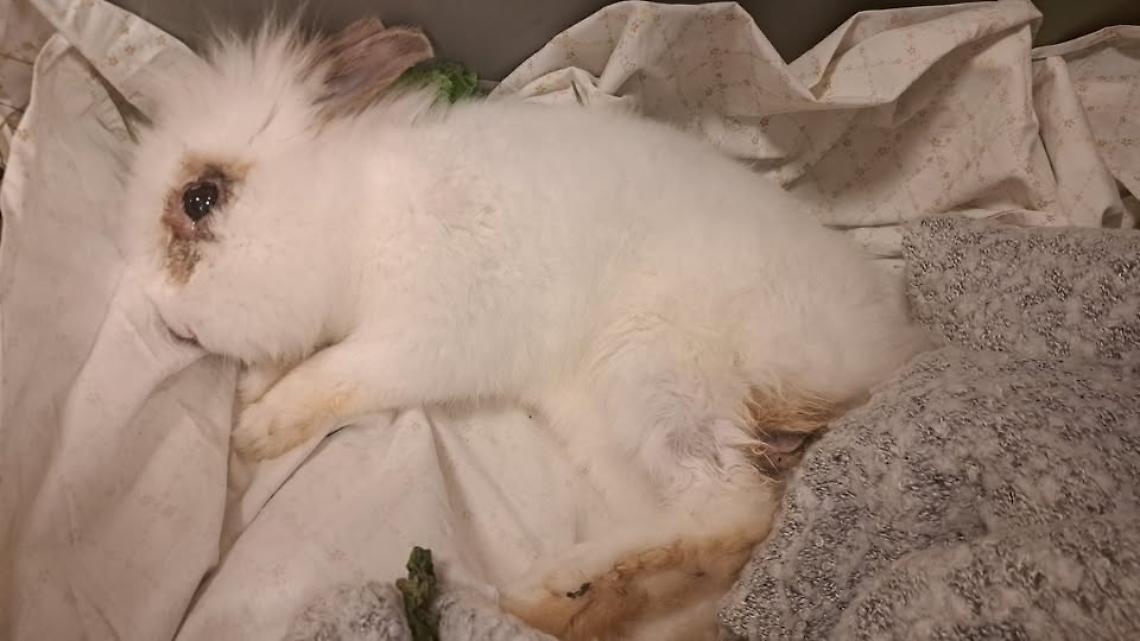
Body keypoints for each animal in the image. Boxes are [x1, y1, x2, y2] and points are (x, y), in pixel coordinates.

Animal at [123, 18, 929, 641]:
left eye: (200, 199)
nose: (162, 313)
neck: (358, 210)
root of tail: (883, 352)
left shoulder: (424, 337)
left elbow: (338, 378)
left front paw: (255, 430)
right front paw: (251, 394)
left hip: (659, 372)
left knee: (736, 507)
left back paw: (563, 587)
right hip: (607, 425)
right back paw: (576, 602)